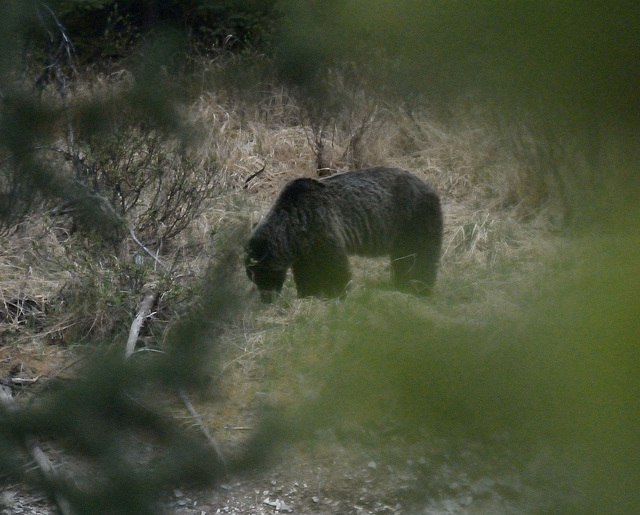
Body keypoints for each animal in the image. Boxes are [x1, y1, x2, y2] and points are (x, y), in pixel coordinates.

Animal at [246, 165, 444, 302]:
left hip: (413, 219)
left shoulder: (321, 226)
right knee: (403, 258)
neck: (294, 226)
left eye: (260, 276)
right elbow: (306, 272)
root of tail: (430, 187)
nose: (266, 299)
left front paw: (336, 293)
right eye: (253, 277)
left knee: (419, 255)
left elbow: (333, 266)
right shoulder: (303, 247)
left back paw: (419, 286)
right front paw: (308, 294)